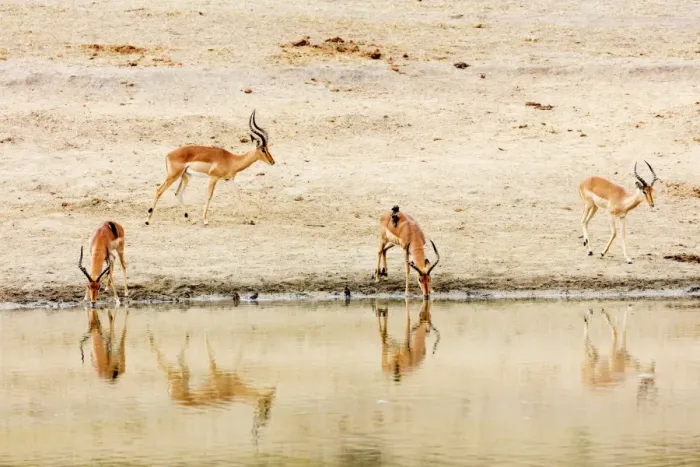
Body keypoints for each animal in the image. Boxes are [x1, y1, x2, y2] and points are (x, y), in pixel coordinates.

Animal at [145, 110, 275, 226]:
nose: (272, 162)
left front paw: (251, 220)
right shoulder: (213, 177)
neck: (231, 159)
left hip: (186, 176)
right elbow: (209, 196)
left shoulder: (229, 179)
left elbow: (238, 195)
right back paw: (147, 220)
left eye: (268, 148)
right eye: (263, 149)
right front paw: (205, 221)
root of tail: (168, 154)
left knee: (178, 193)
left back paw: (191, 219)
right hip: (173, 176)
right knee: (159, 191)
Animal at [148, 331, 276, 439]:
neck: (233, 390)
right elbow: (210, 350)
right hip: (180, 377)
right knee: (165, 360)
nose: (273, 391)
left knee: (176, 359)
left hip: (183, 375)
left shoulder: (230, 373)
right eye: (266, 404)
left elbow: (237, 359)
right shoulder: (214, 371)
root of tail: (174, 398)